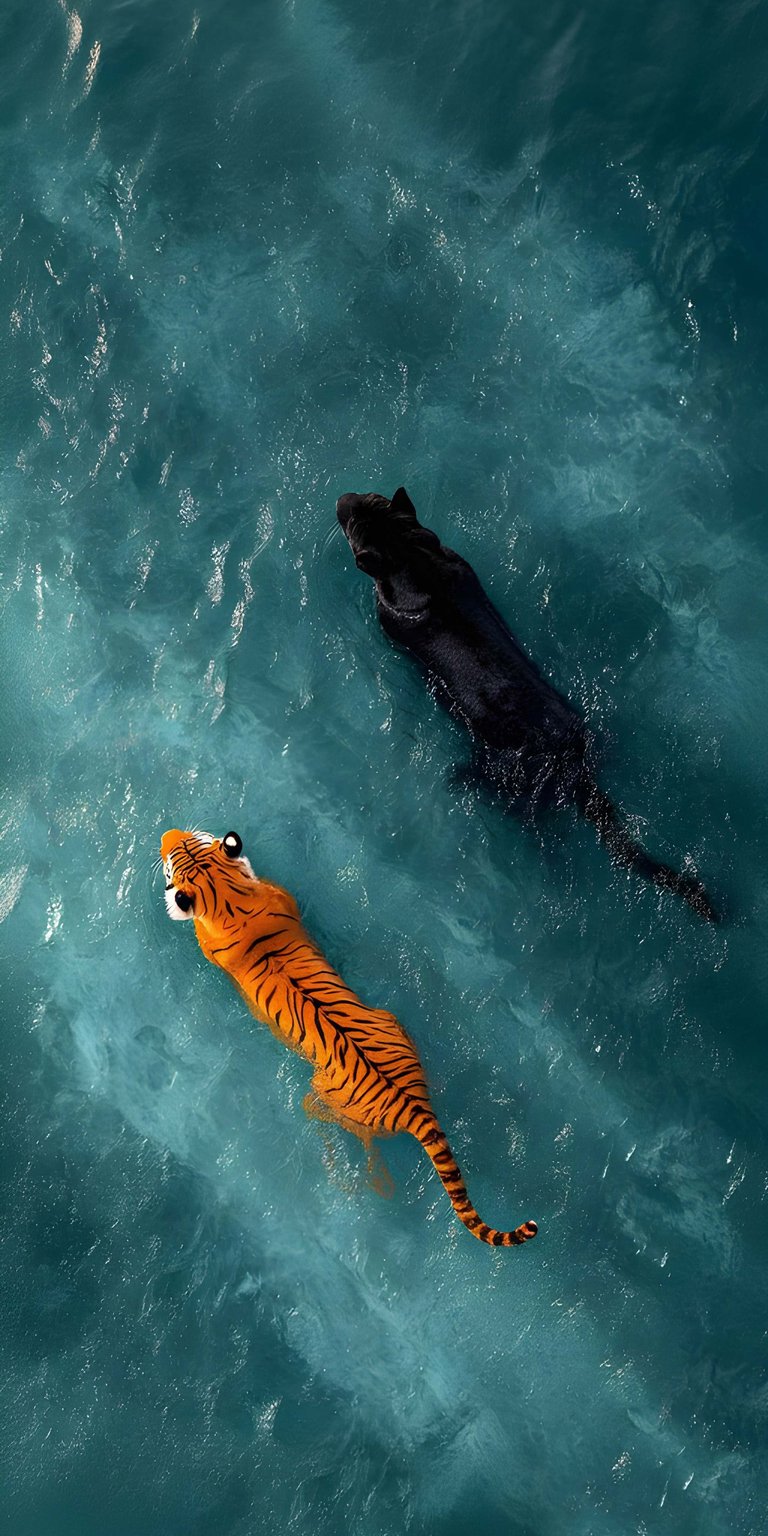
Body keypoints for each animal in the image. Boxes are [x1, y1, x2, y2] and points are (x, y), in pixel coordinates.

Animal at [160, 827, 538, 1250]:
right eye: (187, 846)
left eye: (174, 857)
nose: (167, 834)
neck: (232, 900)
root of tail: (416, 1107)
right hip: (391, 1021)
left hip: (325, 1094)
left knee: (339, 1125)